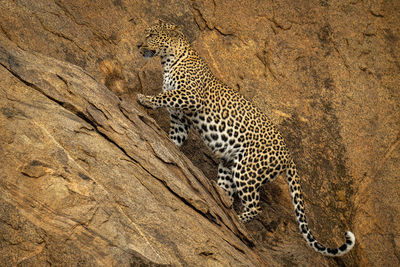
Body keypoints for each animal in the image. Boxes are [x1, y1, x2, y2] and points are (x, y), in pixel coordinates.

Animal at [136, 19, 354, 258]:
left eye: (151, 35)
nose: (138, 45)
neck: (168, 61)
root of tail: (289, 156)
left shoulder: (190, 96)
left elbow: (165, 96)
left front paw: (145, 99)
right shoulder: (180, 118)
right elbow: (175, 134)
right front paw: (167, 144)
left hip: (247, 170)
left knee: (255, 206)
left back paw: (238, 223)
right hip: (229, 164)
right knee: (229, 196)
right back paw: (221, 205)